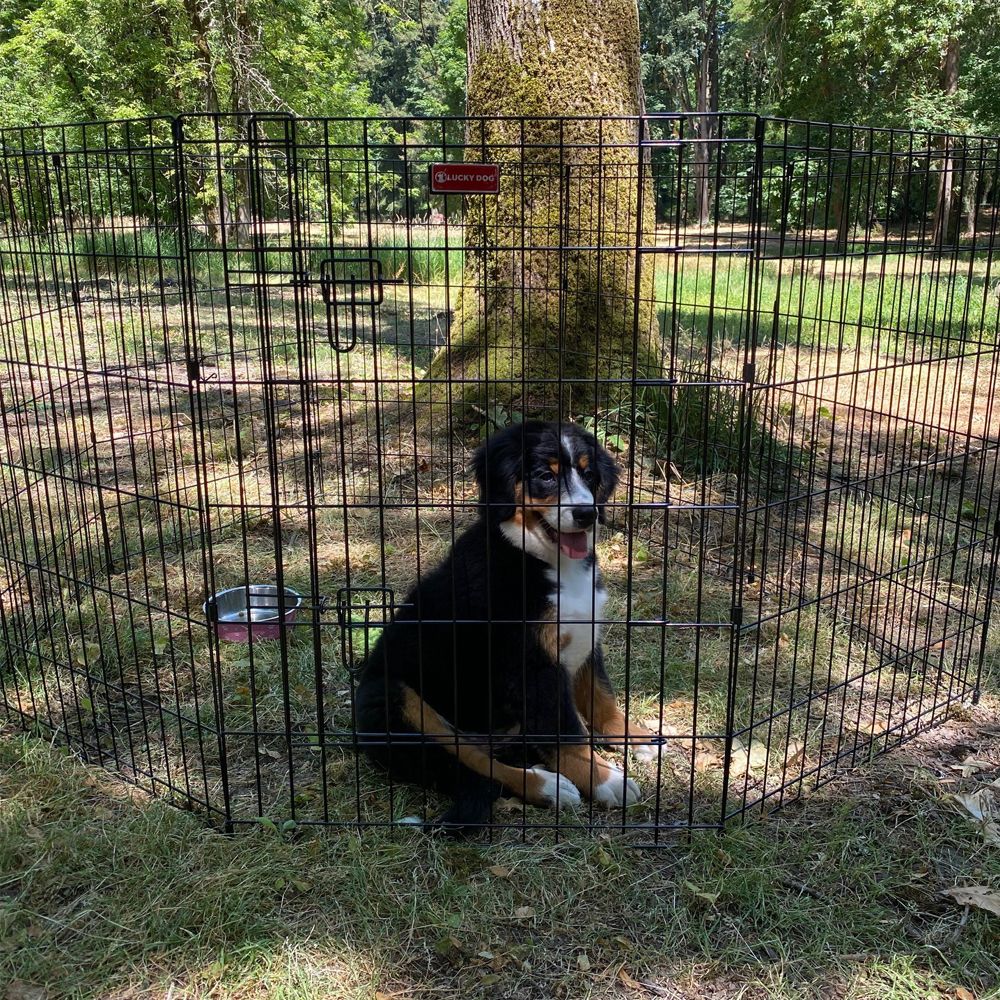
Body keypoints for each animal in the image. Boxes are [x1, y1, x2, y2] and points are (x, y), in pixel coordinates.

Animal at [354, 418, 656, 832]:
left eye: (590, 475)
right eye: (545, 476)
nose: (586, 514)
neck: (546, 561)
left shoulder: (585, 639)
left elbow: (602, 698)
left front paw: (635, 738)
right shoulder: (532, 665)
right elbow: (569, 733)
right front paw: (605, 779)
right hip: (393, 698)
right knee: (474, 765)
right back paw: (546, 786)